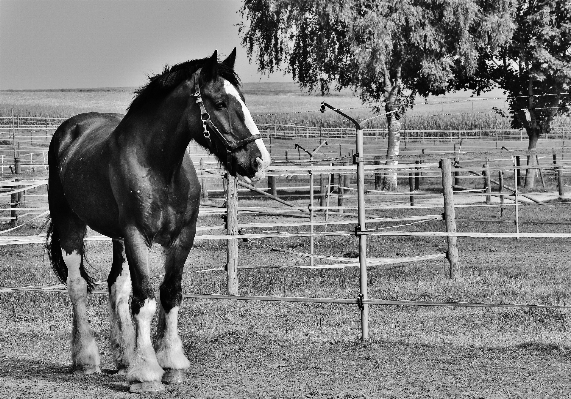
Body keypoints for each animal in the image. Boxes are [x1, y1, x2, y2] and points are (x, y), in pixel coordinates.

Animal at [45, 48, 272, 392]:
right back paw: (86, 359)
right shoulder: (137, 236)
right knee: (77, 287)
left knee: (116, 286)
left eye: (242, 99)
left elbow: (169, 293)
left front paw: (171, 363)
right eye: (220, 102)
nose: (259, 161)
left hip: (117, 238)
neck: (160, 168)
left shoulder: (182, 237)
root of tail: (70, 130)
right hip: (70, 224)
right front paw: (147, 373)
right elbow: (145, 299)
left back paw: (123, 356)